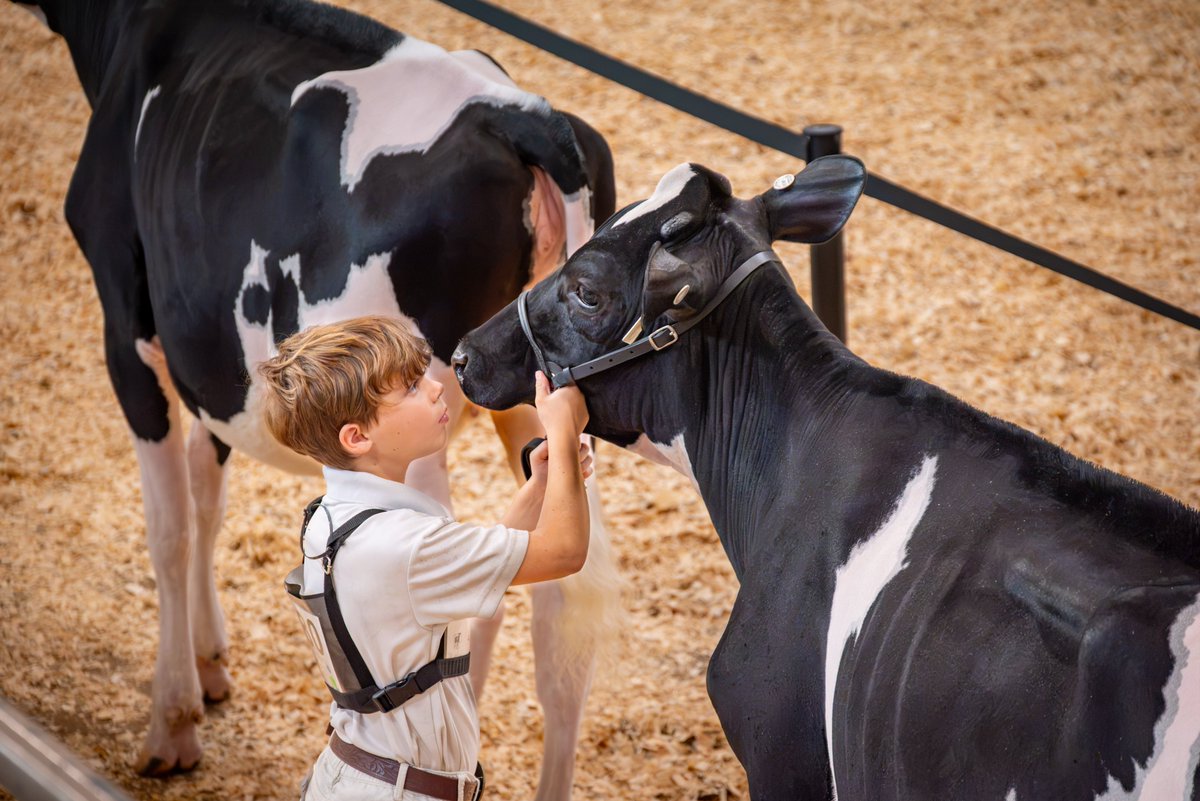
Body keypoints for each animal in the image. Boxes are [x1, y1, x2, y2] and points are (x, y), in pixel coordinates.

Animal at [11, 0, 621, 793]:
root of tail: (526, 117)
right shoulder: (214, 358)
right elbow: (208, 494)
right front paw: (210, 661)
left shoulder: (129, 325)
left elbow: (170, 530)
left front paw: (173, 717)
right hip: (530, 394)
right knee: (559, 594)